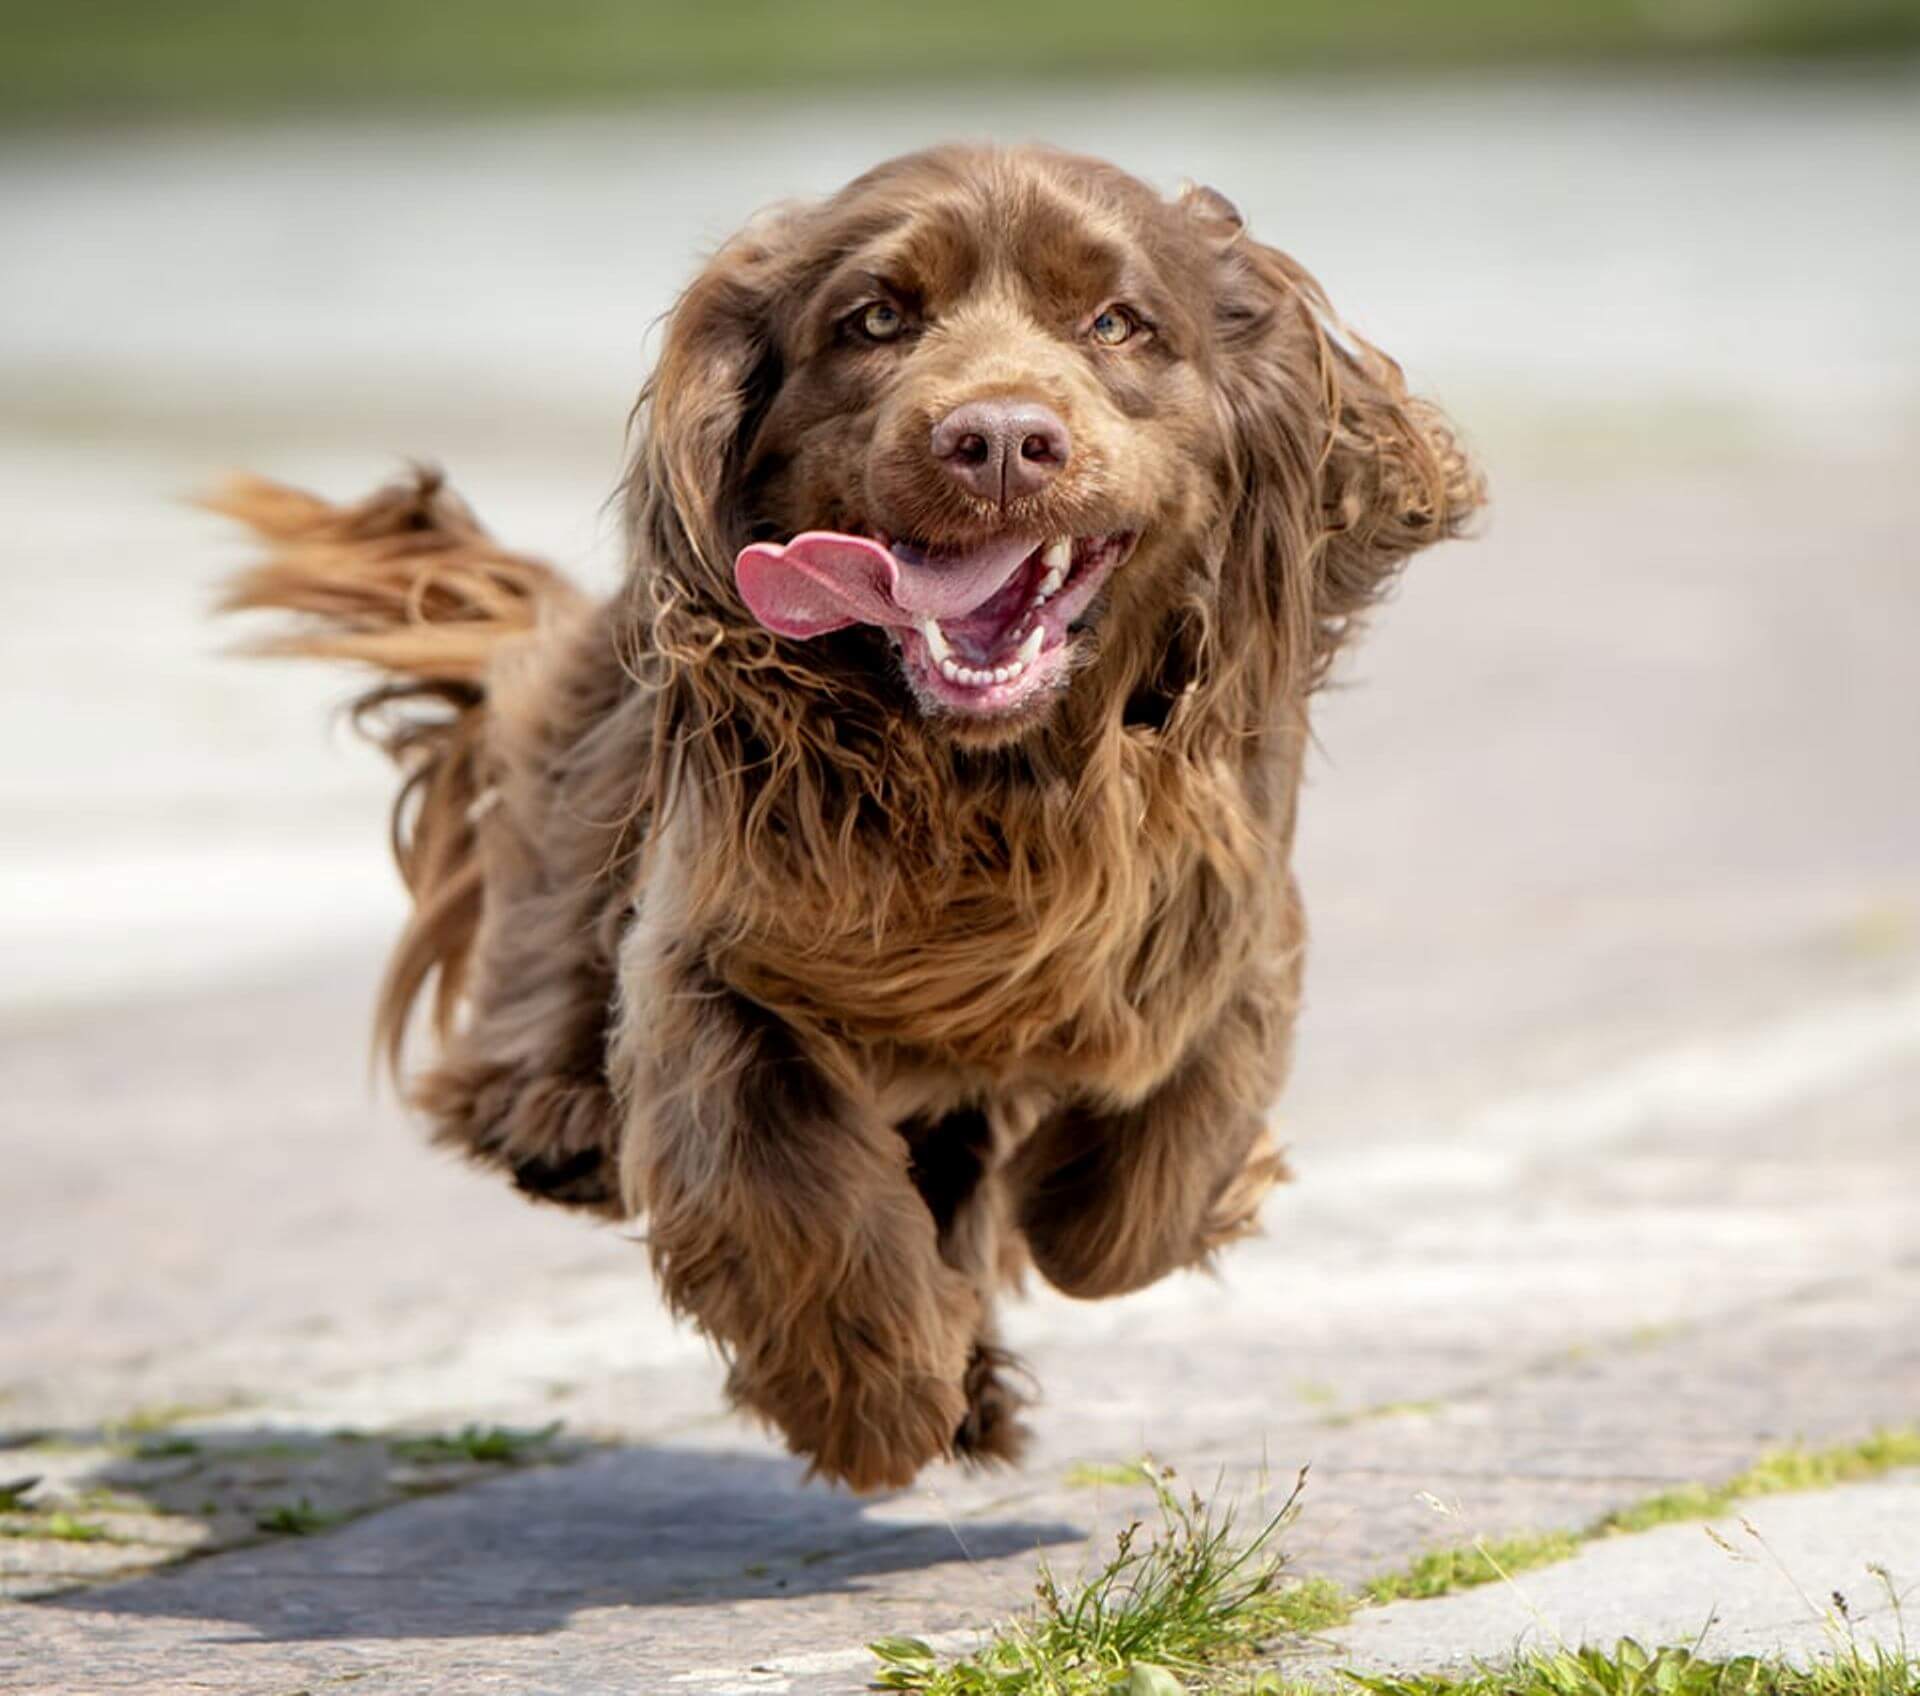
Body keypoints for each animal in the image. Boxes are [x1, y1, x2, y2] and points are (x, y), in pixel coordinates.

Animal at [220, 152, 1482, 1490]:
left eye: (1117, 323)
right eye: (876, 319)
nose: (999, 442)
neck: (994, 780)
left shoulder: (1222, 925)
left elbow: (1133, 1188)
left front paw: (1062, 1232)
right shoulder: (720, 952)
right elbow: (788, 1185)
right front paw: (872, 1400)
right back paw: (554, 1116)